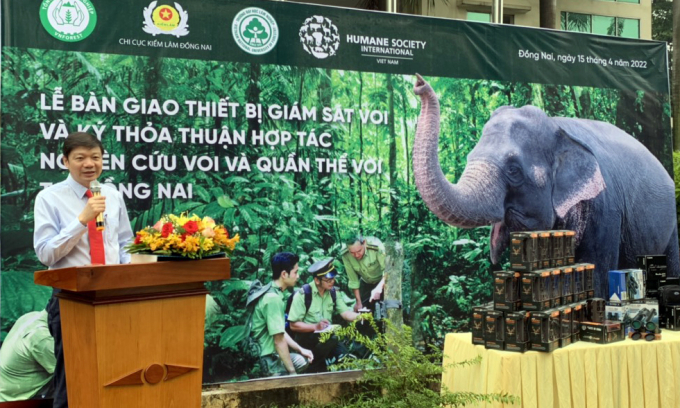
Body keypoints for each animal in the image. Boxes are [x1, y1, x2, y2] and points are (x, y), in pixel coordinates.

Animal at [412, 74, 676, 296]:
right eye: (469, 157)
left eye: (513, 170)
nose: (418, 83)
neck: (559, 127)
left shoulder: (606, 211)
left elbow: (597, 275)